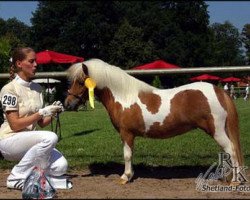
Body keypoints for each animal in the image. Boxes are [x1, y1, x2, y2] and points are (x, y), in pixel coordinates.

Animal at [64, 58, 244, 184]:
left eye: (80, 82)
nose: (67, 103)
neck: (123, 96)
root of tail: (219, 91)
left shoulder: (126, 133)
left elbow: (127, 155)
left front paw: (125, 177)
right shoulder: (130, 135)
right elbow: (131, 154)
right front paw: (130, 175)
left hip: (217, 131)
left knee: (231, 150)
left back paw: (233, 180)